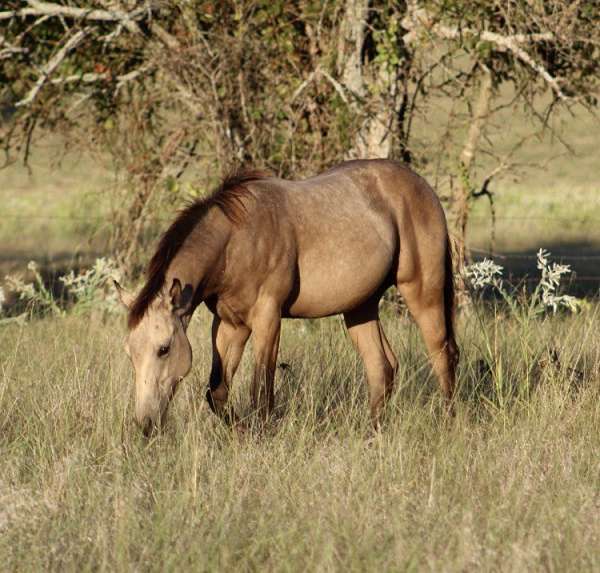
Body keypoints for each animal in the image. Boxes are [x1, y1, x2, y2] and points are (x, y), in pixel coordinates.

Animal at [115, 156, 458, 434]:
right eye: (129, 352)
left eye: (163, 348)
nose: (145, 424)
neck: (234, 242)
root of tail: (422, 187)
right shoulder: (230, 324)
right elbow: (218, 391)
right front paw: (241, 434)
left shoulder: (268, 318)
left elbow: (260, 391)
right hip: (360, 307)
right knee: (382, 368)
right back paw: (373, 436)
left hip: (423, 293)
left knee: (443, 355)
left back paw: (447, 425)